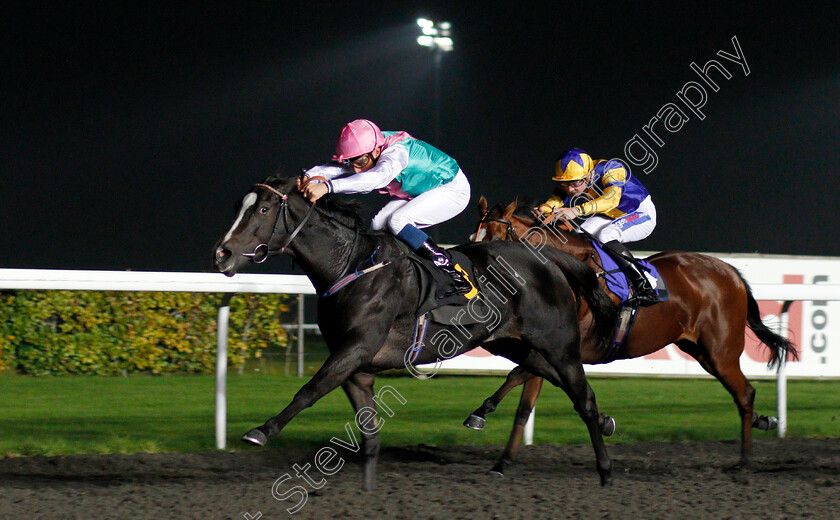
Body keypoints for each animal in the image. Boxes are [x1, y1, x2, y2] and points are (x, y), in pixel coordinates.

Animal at [215, 177, 624, 490]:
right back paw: (603, 423)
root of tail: (548, 259)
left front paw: (261, 430)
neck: (351, 265)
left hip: (559, 345)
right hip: (517, 345)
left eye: (263, 210)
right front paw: (368, 489)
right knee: (546, 378)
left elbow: (308, 391)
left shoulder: (354, 349)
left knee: (582, 398)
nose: (222, 254)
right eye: (238, 206)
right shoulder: (356, 369)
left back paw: (605, 473)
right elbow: (369, 432)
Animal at [470, 198, 796, 476]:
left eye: (494, 241)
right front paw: (501, 461)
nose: (475, 287)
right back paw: (763, 422)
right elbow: (524, 407)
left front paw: (481, 414)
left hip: (721, 351)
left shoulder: (563, 350)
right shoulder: (548, 350)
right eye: (474, 240)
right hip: (701, 351)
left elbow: (520, 374)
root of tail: (729, 271)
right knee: (743, 393)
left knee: (745, 393)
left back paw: (745, 461)